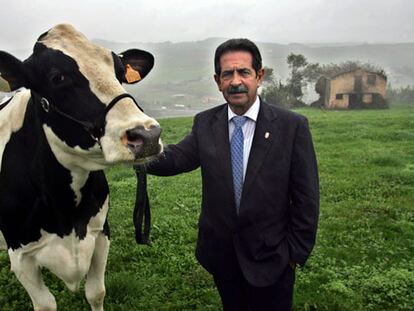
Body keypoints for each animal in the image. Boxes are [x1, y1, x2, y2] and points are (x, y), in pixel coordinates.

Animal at [0, 23, 163, 310]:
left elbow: (96, 292)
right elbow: (45, 304)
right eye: (57, 77)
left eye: (120, 73)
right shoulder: (20, 255)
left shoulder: (100, 233)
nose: (148, 135)